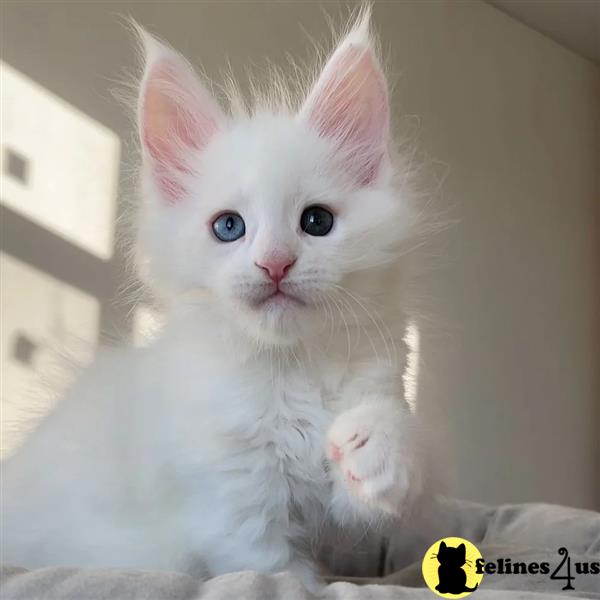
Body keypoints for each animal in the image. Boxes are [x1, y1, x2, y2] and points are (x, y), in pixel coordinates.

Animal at [3, 9, 426, 592]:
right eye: (229, 227)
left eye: (316, 222)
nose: (275, 263)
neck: (286, 368)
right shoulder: (232, 503)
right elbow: (277, 571)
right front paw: (309, 586)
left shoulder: (378, 387)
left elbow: (392, 438)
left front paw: (371, 447)